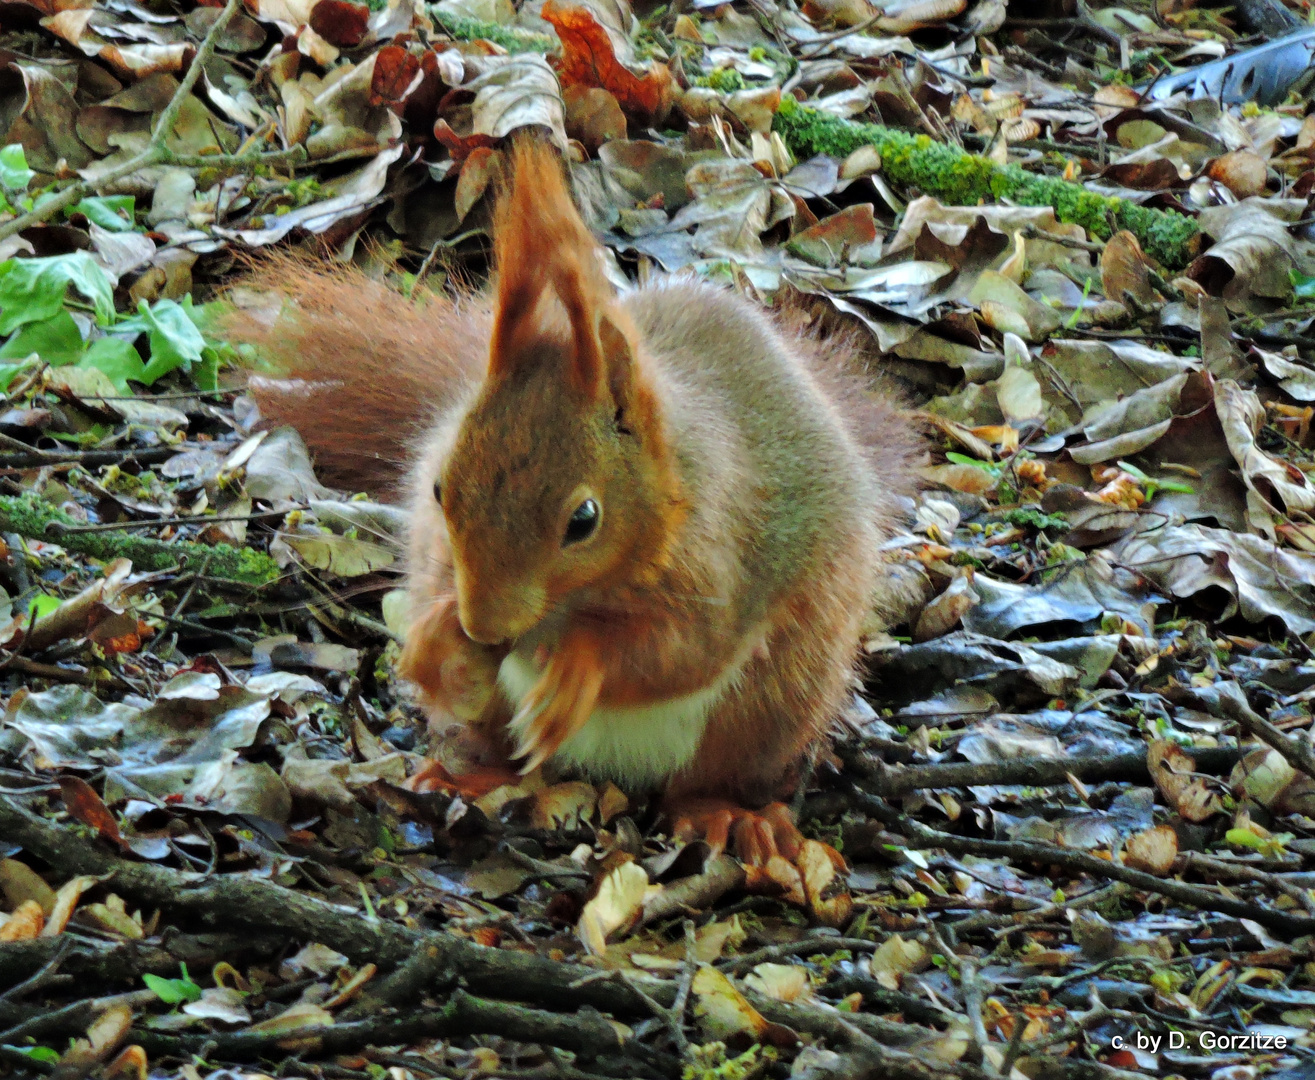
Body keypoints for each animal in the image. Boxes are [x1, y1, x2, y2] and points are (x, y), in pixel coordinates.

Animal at [226, 136, 920, 868]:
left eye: (584, 520)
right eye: (439, 489)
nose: (484, 630)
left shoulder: (720, 553)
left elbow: (681, 649)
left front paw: (576, 670)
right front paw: (434, 643)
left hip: (771, 706)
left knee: (713, 774)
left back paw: (730, 815)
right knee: (508, 755)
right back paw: (471, 774)